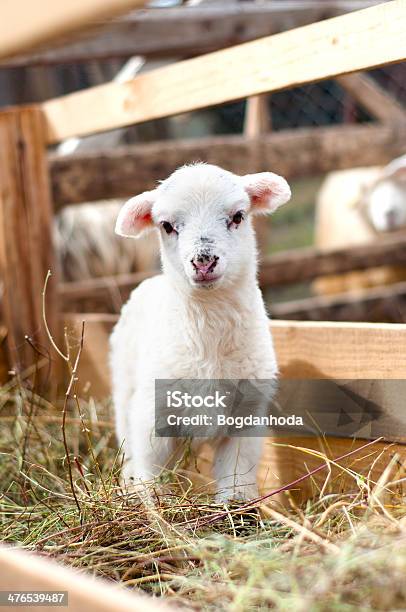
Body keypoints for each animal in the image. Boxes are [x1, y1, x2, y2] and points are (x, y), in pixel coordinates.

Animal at [109, 163, 290, 502]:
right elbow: (151, 474)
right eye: (166, 225)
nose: (203, 261)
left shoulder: (246, 420)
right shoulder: (152, 417)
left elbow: (236, 479)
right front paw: (155, 508)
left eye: (238, 216)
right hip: (124, 388)